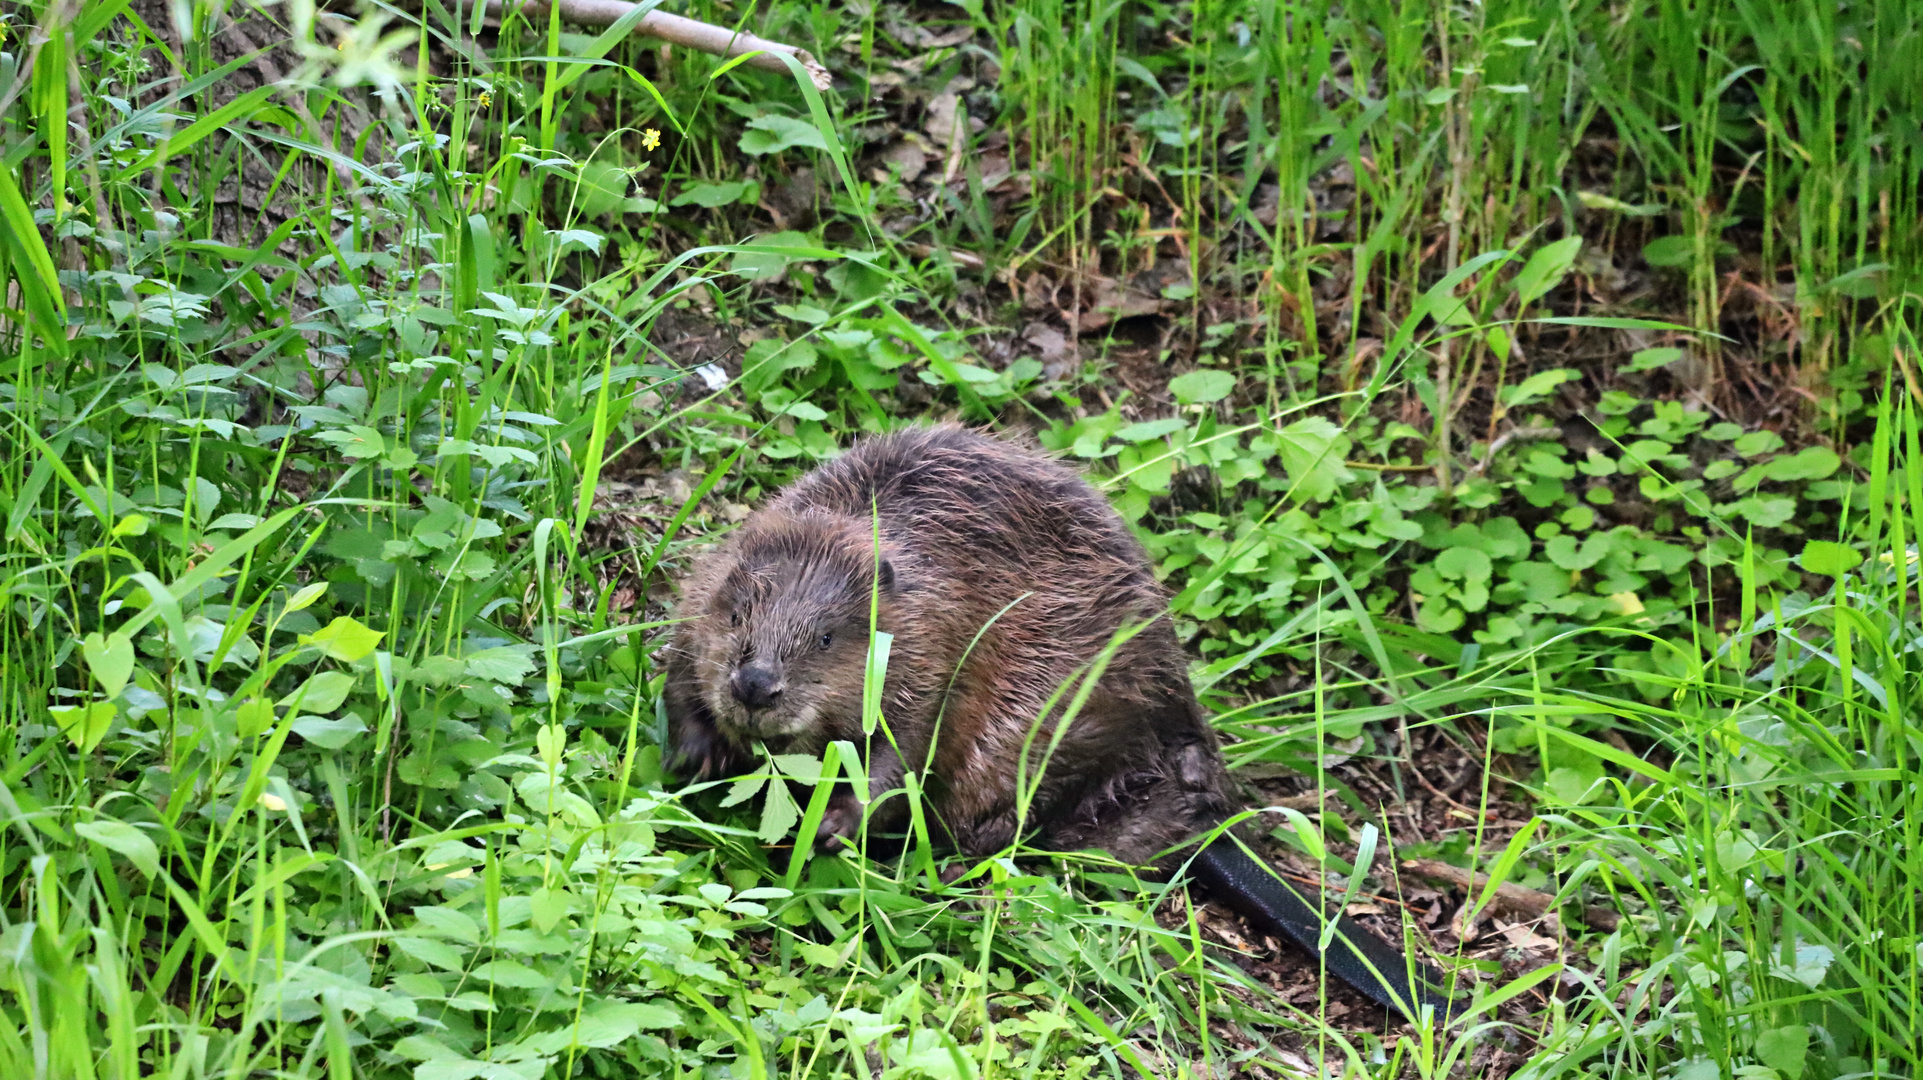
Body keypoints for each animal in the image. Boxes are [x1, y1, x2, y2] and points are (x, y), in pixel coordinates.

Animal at [661, 420, 1453, 1014]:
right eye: (737, 613)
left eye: (827, 638)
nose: (755, 685)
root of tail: (1205, 818)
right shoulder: (702, 589)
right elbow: (677, 669)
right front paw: (692, 756)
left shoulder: (939, 643)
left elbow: (902, 754)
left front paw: (831, 826)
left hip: (1051, 713)